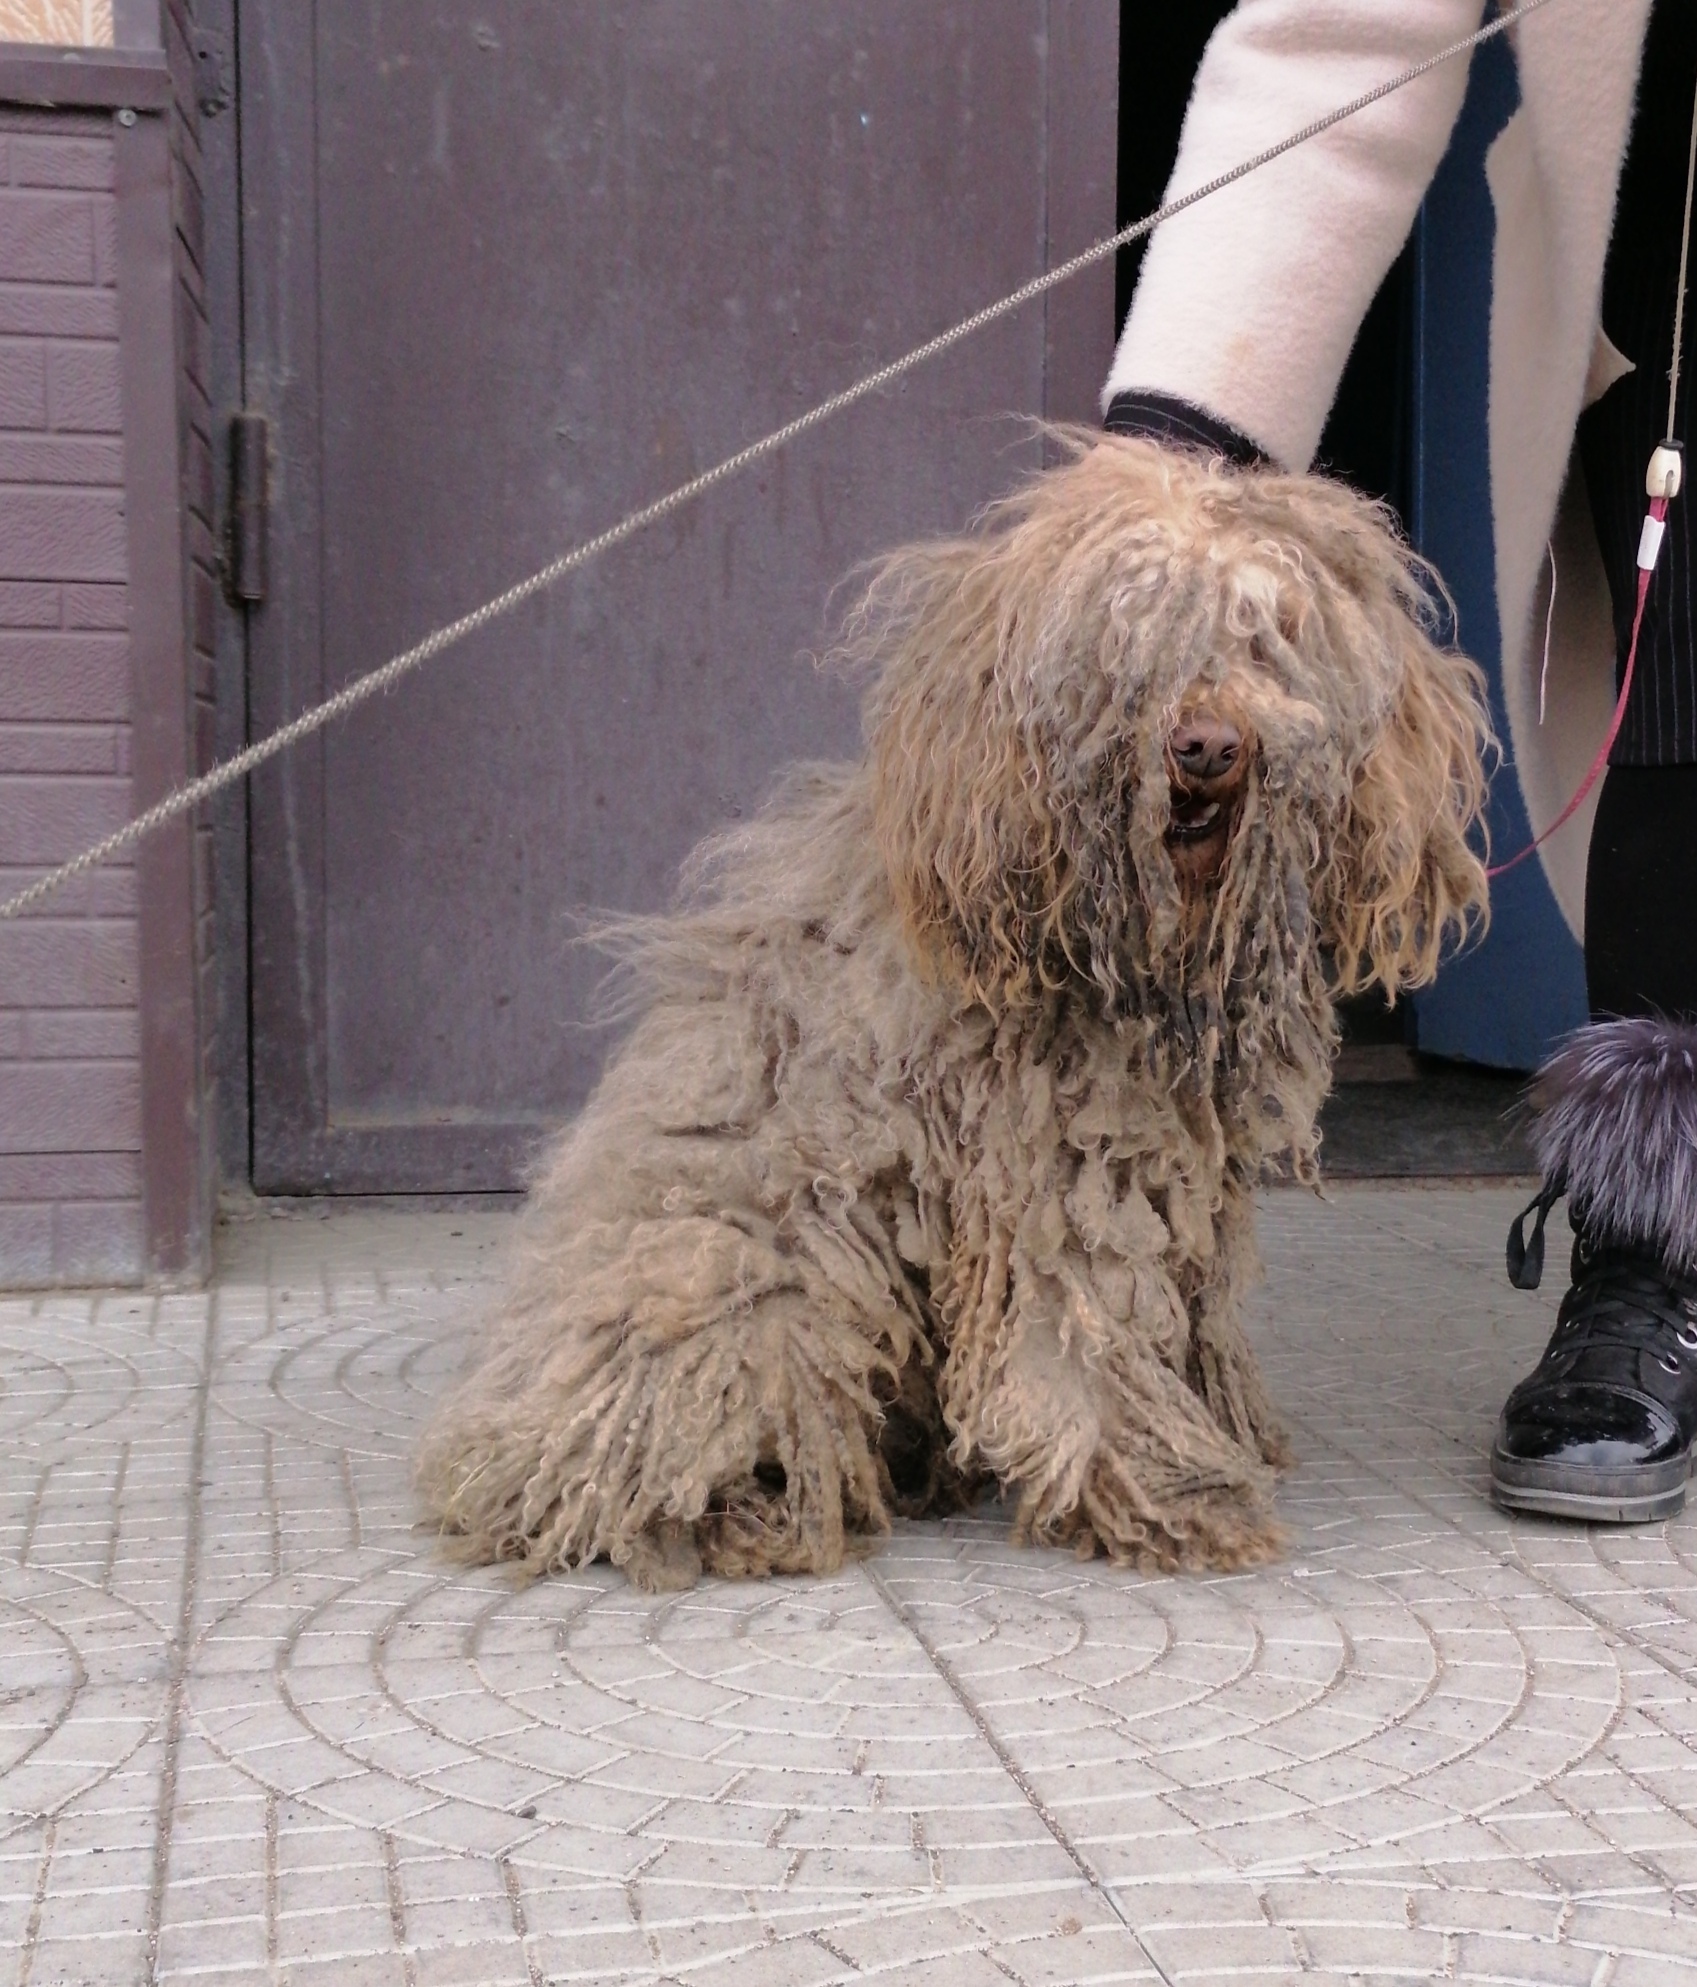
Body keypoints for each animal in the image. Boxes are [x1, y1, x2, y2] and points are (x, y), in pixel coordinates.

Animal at [419, 435, 1494, 1581]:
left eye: (1264, 638)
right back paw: (752, 1515)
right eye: (1123, 647)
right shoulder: (1051, 1178)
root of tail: (509, 1456)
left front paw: (1218, 1435)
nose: (1204, 745)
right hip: (755, 1298)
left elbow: (1186, 1316)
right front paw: (1169, 1496)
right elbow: (1088, 1340)